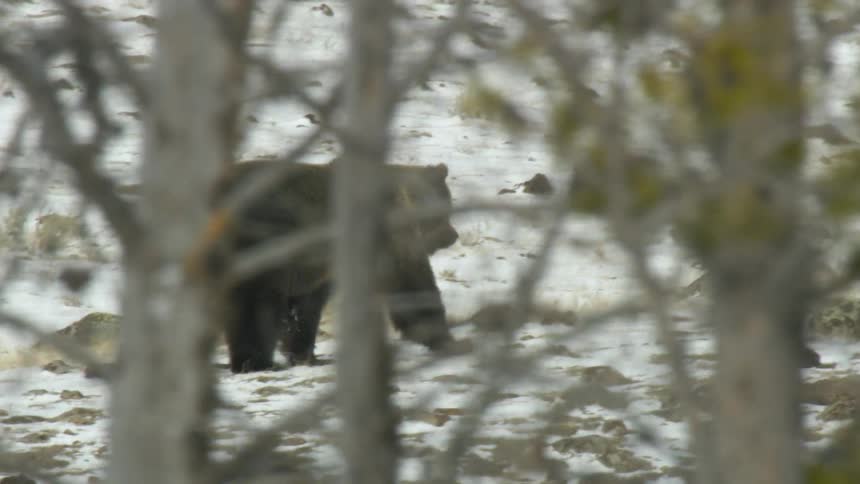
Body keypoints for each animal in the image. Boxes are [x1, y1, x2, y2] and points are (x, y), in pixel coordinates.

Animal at [211, 160, 459, 373]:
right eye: (446, 208)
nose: (452, 236)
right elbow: (409, 282)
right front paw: (441, 337)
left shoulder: (316, 269)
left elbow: (305, 308)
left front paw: (302, 353)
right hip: (260, 247)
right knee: (252, 308)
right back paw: (253, 361)